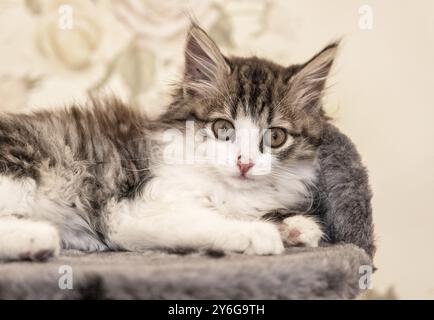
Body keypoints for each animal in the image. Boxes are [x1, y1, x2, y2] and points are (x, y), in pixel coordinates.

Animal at [0, 24, 338, 260]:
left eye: (275, 136)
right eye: (222, 128)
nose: (245, 163)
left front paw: (295, 226)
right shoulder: (130, 210)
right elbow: (204, 221)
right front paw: (260, 232)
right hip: (21, 170)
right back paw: (40, 237)